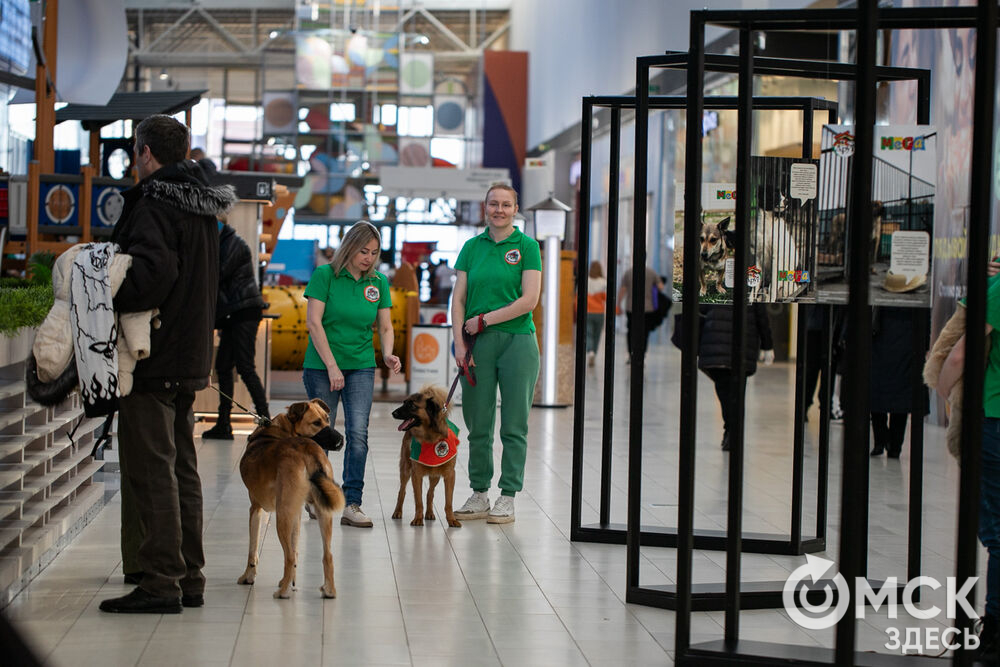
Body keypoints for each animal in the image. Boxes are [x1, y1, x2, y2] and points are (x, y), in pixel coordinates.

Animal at [236, 400, 346, 604]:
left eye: (327, 419)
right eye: (317, 422)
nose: (341, 440)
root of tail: (308, 449)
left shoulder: (256, 508)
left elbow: (252, 550)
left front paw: (248, 576)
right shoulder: (297, 513)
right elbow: (295, 549)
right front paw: (289, 581)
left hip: (282, 515)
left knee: (288, 556)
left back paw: (283, 593)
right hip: (321, 513)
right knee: (326, 555)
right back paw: (328, 590)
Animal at [394, 388, 464, 528]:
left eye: (412, 405)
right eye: (404, 403)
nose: (393, 413)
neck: (430, 436)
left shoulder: (449, 475)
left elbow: (448, 502)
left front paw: (451, 519)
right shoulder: (416, 474)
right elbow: (418, 501)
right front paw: (418, 519)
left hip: (435, 475)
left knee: (430, 493)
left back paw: (430, 513)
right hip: (405, 469)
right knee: (402, 491)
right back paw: (398, 511)